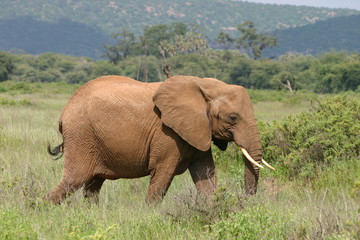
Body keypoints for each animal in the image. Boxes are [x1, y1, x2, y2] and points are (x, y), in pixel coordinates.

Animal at [47, 75, 272, 204]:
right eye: (233, 118)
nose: (246, 200)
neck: (204, 85)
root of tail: (65, 110)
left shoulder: (197, 130)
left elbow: (206, 174)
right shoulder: (167, 134)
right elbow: (162, 174)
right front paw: (150, 215)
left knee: (93, 185)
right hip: (81, 135)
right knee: (75, 179)